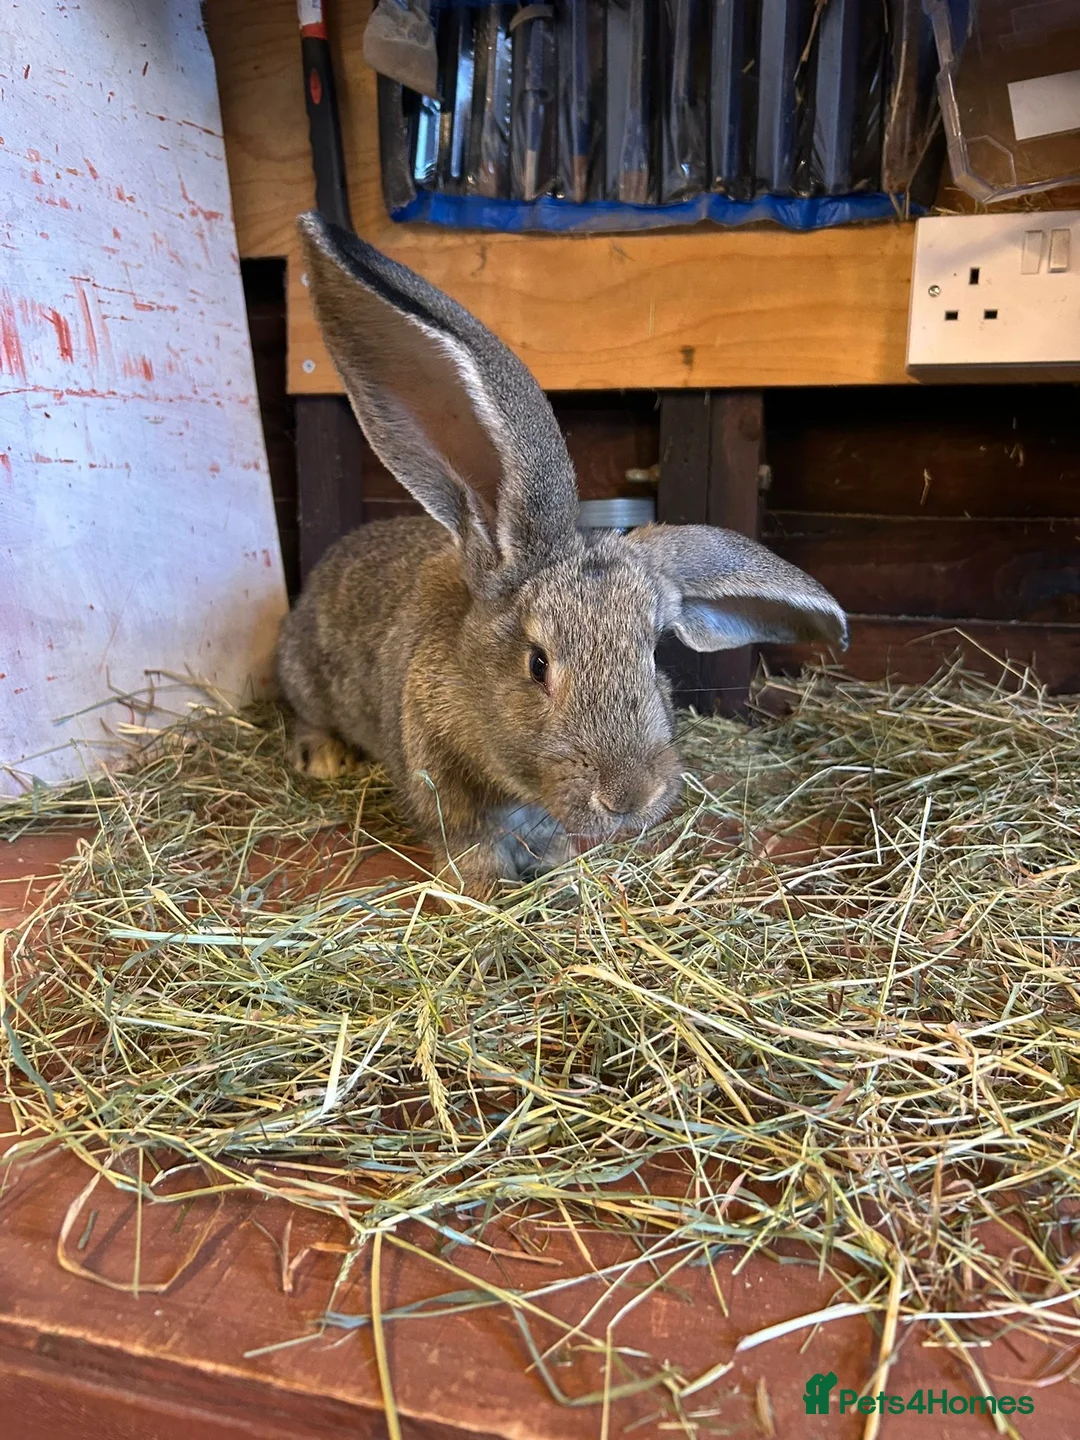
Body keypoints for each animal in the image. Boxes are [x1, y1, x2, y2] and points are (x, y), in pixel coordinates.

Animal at [276, 212, 849, 893]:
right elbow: (471, 850)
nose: (630, 797)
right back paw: (321, 757)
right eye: (537, 664)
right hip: (304, 673)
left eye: (652, 652)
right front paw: (489, 890)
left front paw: (559, 873)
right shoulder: (446, 797)